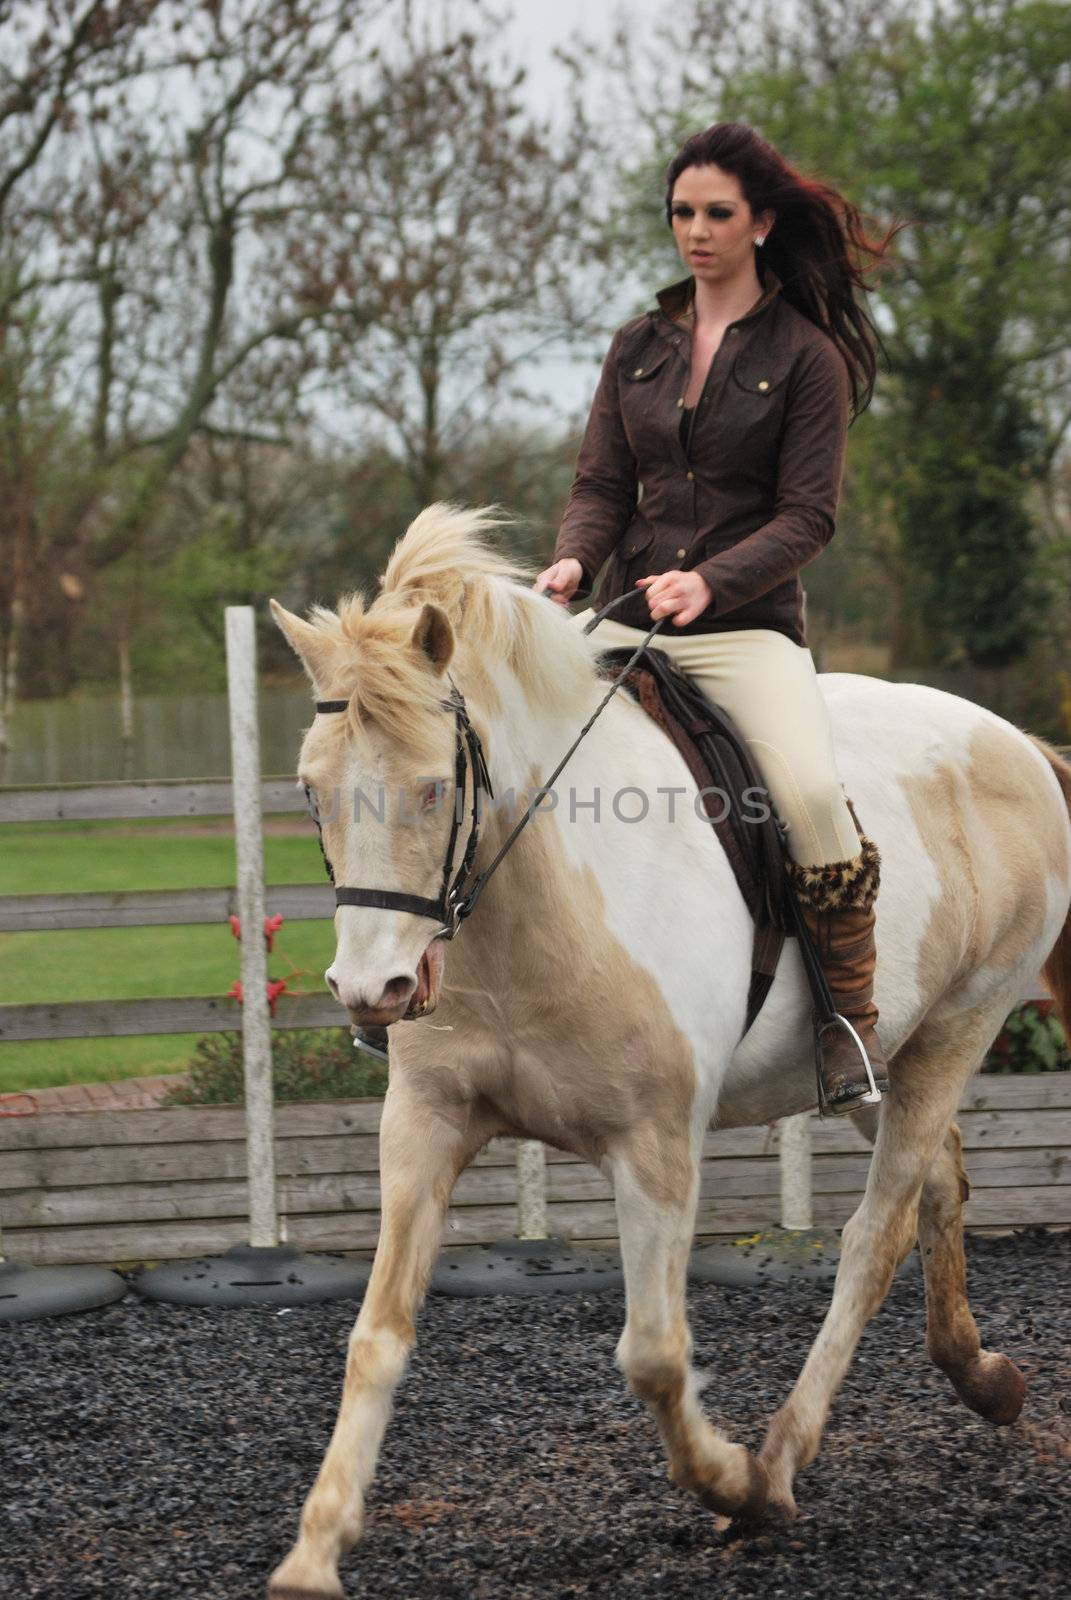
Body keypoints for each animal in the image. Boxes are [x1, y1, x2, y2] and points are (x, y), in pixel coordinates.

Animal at [265, 505, 1069, 1600]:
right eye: (312, 791)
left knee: (873, 1234)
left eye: (434, 789)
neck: (531, 903)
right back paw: (984, 1379)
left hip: (961, 1028)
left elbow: (651, 1353)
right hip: (882, 1061)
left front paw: (733, 1483)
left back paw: (781, 1462)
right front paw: (314, 1549)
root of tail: (1014, 742)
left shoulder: (654, 1144)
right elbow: (376, 1336)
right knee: (936, 1182)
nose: (369, 991)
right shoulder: (425, 1123)